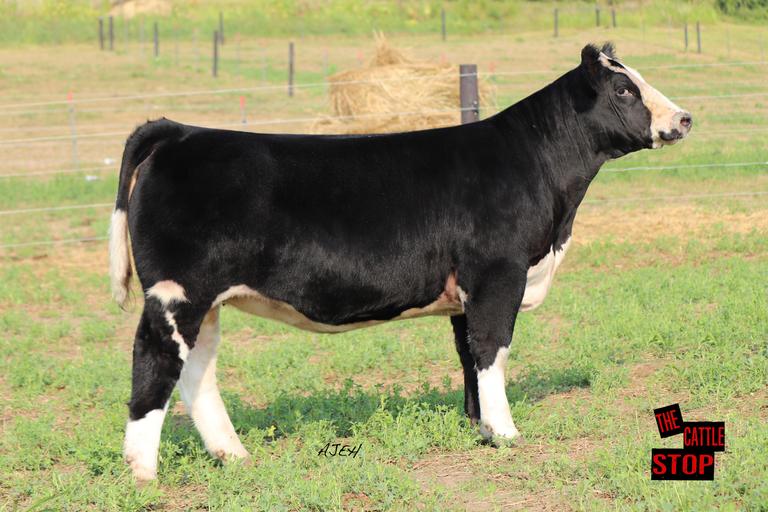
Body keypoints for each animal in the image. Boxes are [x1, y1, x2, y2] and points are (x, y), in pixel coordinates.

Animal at [109, 43, 691, 481]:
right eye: (623, 89)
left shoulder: (465, 290)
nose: (683, 118)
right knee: (156, 360)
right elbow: (493, 351)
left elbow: (469, 356)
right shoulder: (497, 274)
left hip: (204, 302)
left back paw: (233, 455)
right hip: (178, 293)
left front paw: (481, 428)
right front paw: (506, 433)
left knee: (197, 372)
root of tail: (181, 131)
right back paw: (143, 472)